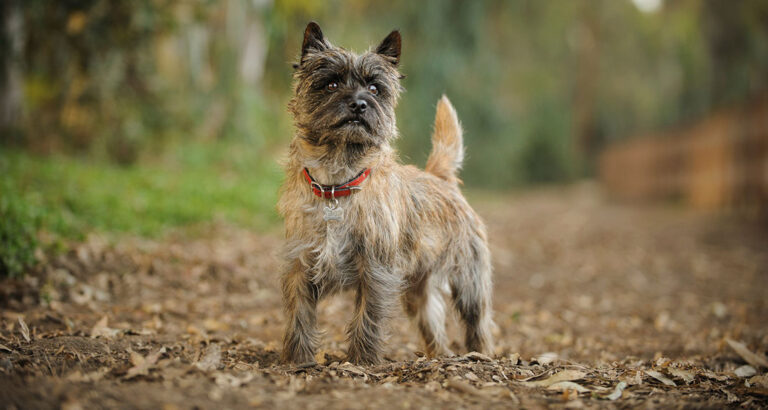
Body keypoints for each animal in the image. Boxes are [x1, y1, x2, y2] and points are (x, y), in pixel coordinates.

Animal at [280, 21, 496, 366]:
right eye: (331, 84)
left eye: (374, 88)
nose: (359, 104)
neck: (337, 182)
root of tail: (440, 177)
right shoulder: (301, 264)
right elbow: (299, 315)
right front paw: (297, 360)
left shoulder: (376, 271)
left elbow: (367, 316)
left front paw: (362, 361)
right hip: (419, 291)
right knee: (433, 325)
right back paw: (439, 356)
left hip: (469, 282)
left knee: (478, 321)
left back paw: (481, 354)